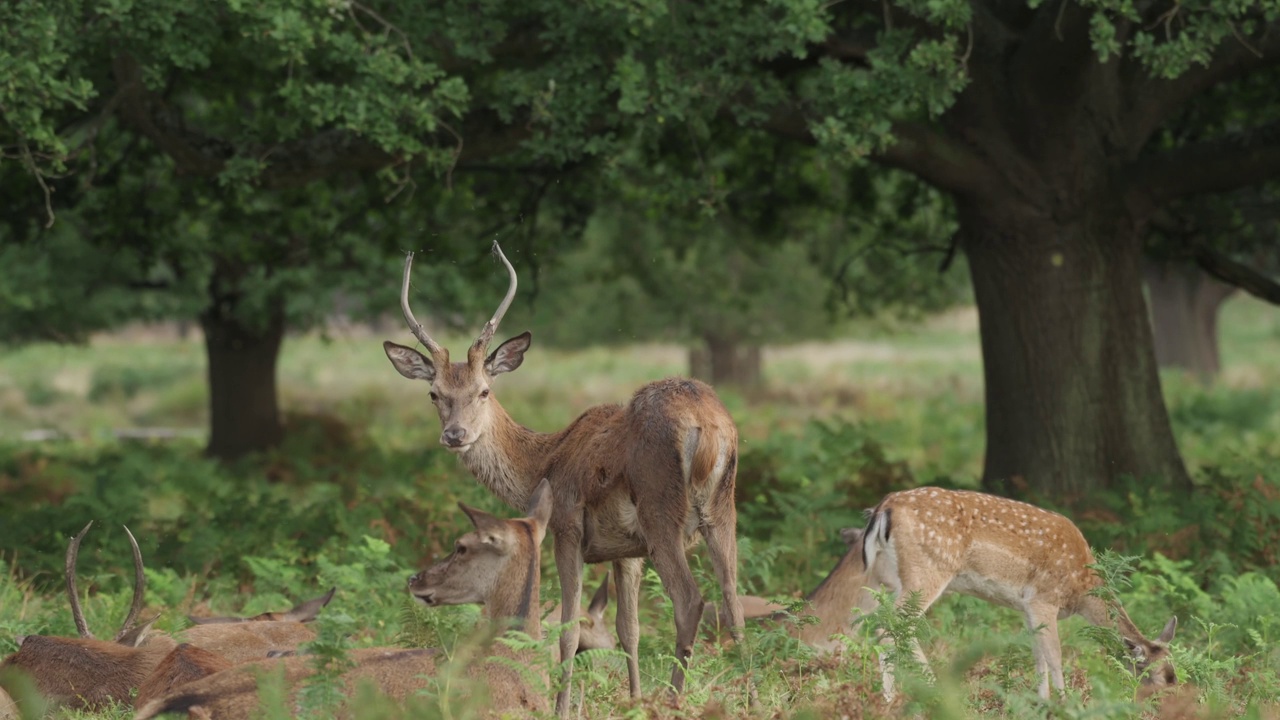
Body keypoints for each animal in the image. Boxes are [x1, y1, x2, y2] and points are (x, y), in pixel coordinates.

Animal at [384, 240, 747, 712]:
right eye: (434, 393)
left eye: (484, 390)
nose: (455, 435)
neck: (544, 461)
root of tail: (709, 427)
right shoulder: (626, 551)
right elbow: (629, 631)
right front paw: (632, 701)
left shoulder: (567, 529)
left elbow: (568, 632)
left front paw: (562, 707)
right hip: (723, 508)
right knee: (734, 602)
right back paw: (752, 693)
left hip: (660, 508)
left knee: (690, 602)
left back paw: (672, 701)